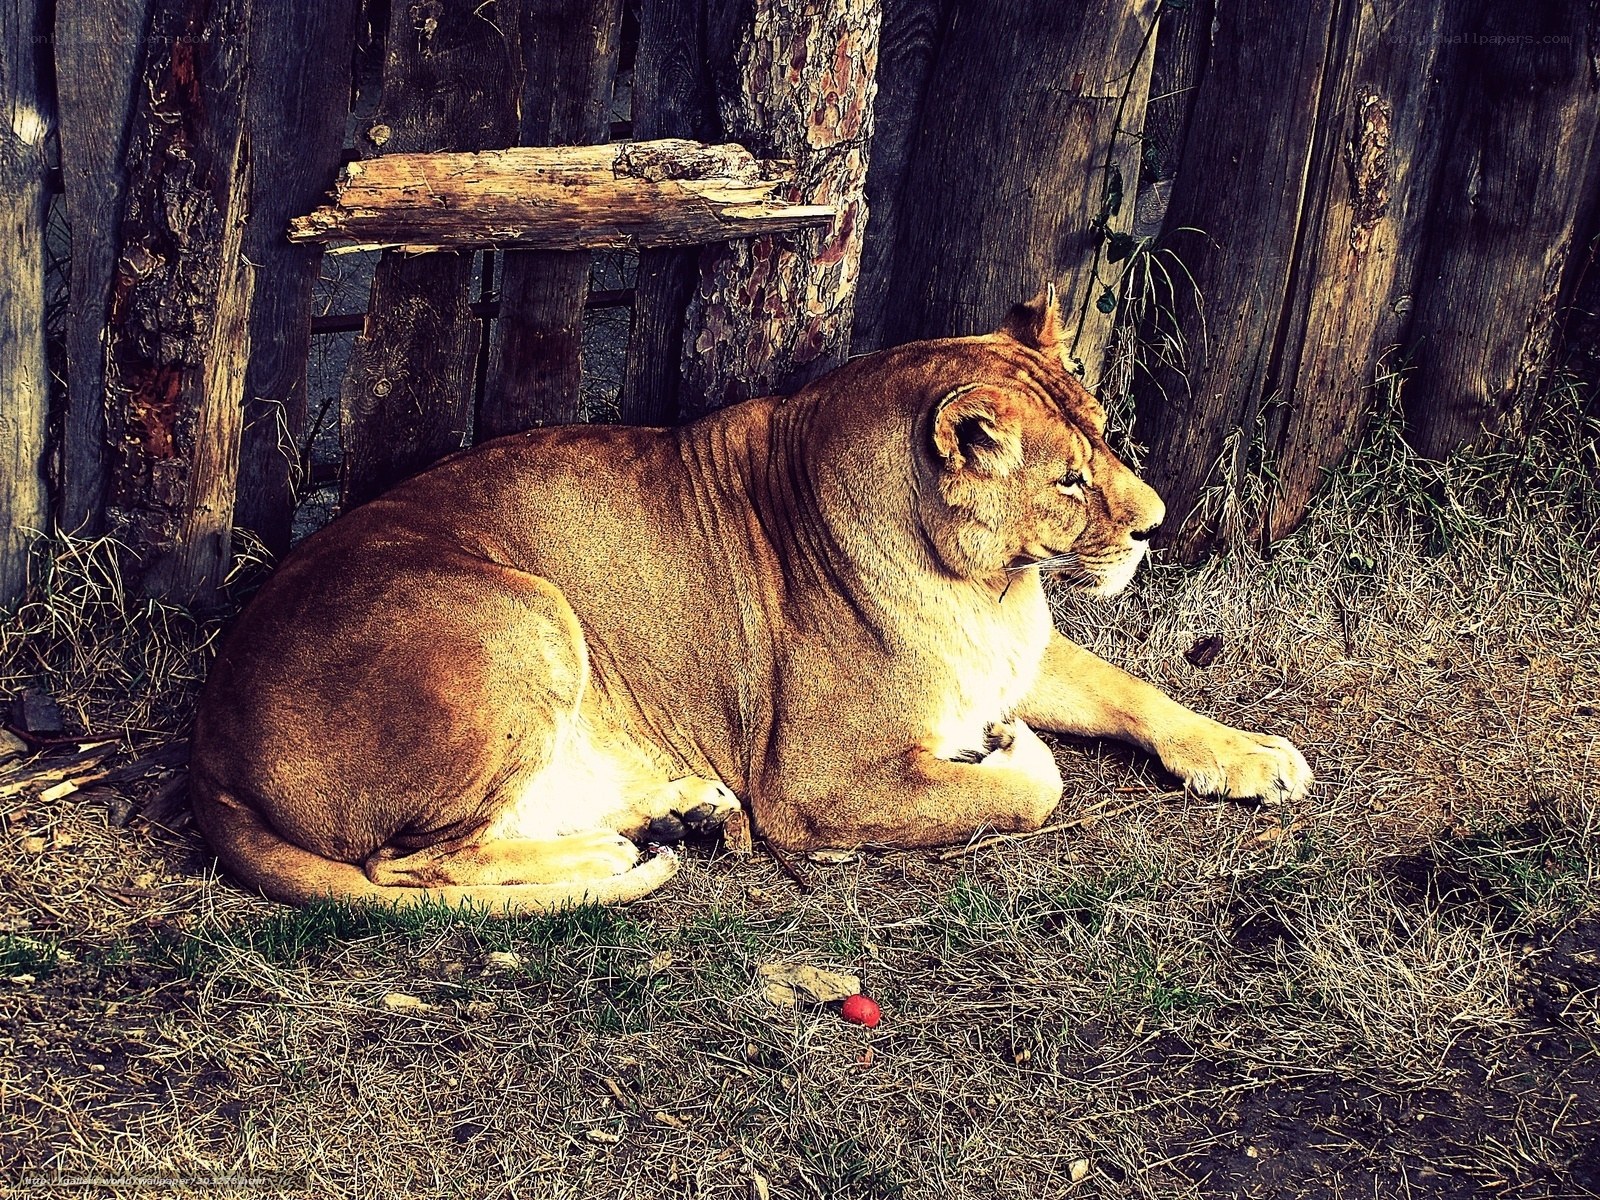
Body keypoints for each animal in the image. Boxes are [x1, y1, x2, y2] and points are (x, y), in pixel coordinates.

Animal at [190, 291, 1311, 911]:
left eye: (1107, 436)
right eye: (1070, 481)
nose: (1155, 524)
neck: (983, 586)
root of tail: (211, 747)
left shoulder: (1020, 651)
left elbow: (1140, 693)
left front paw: (1254, 756)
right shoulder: (813, 785)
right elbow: (1031, 794)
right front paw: (1007, 749)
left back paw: (681, 809)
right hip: (521, 609)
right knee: (404, 862)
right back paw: (612, 847)